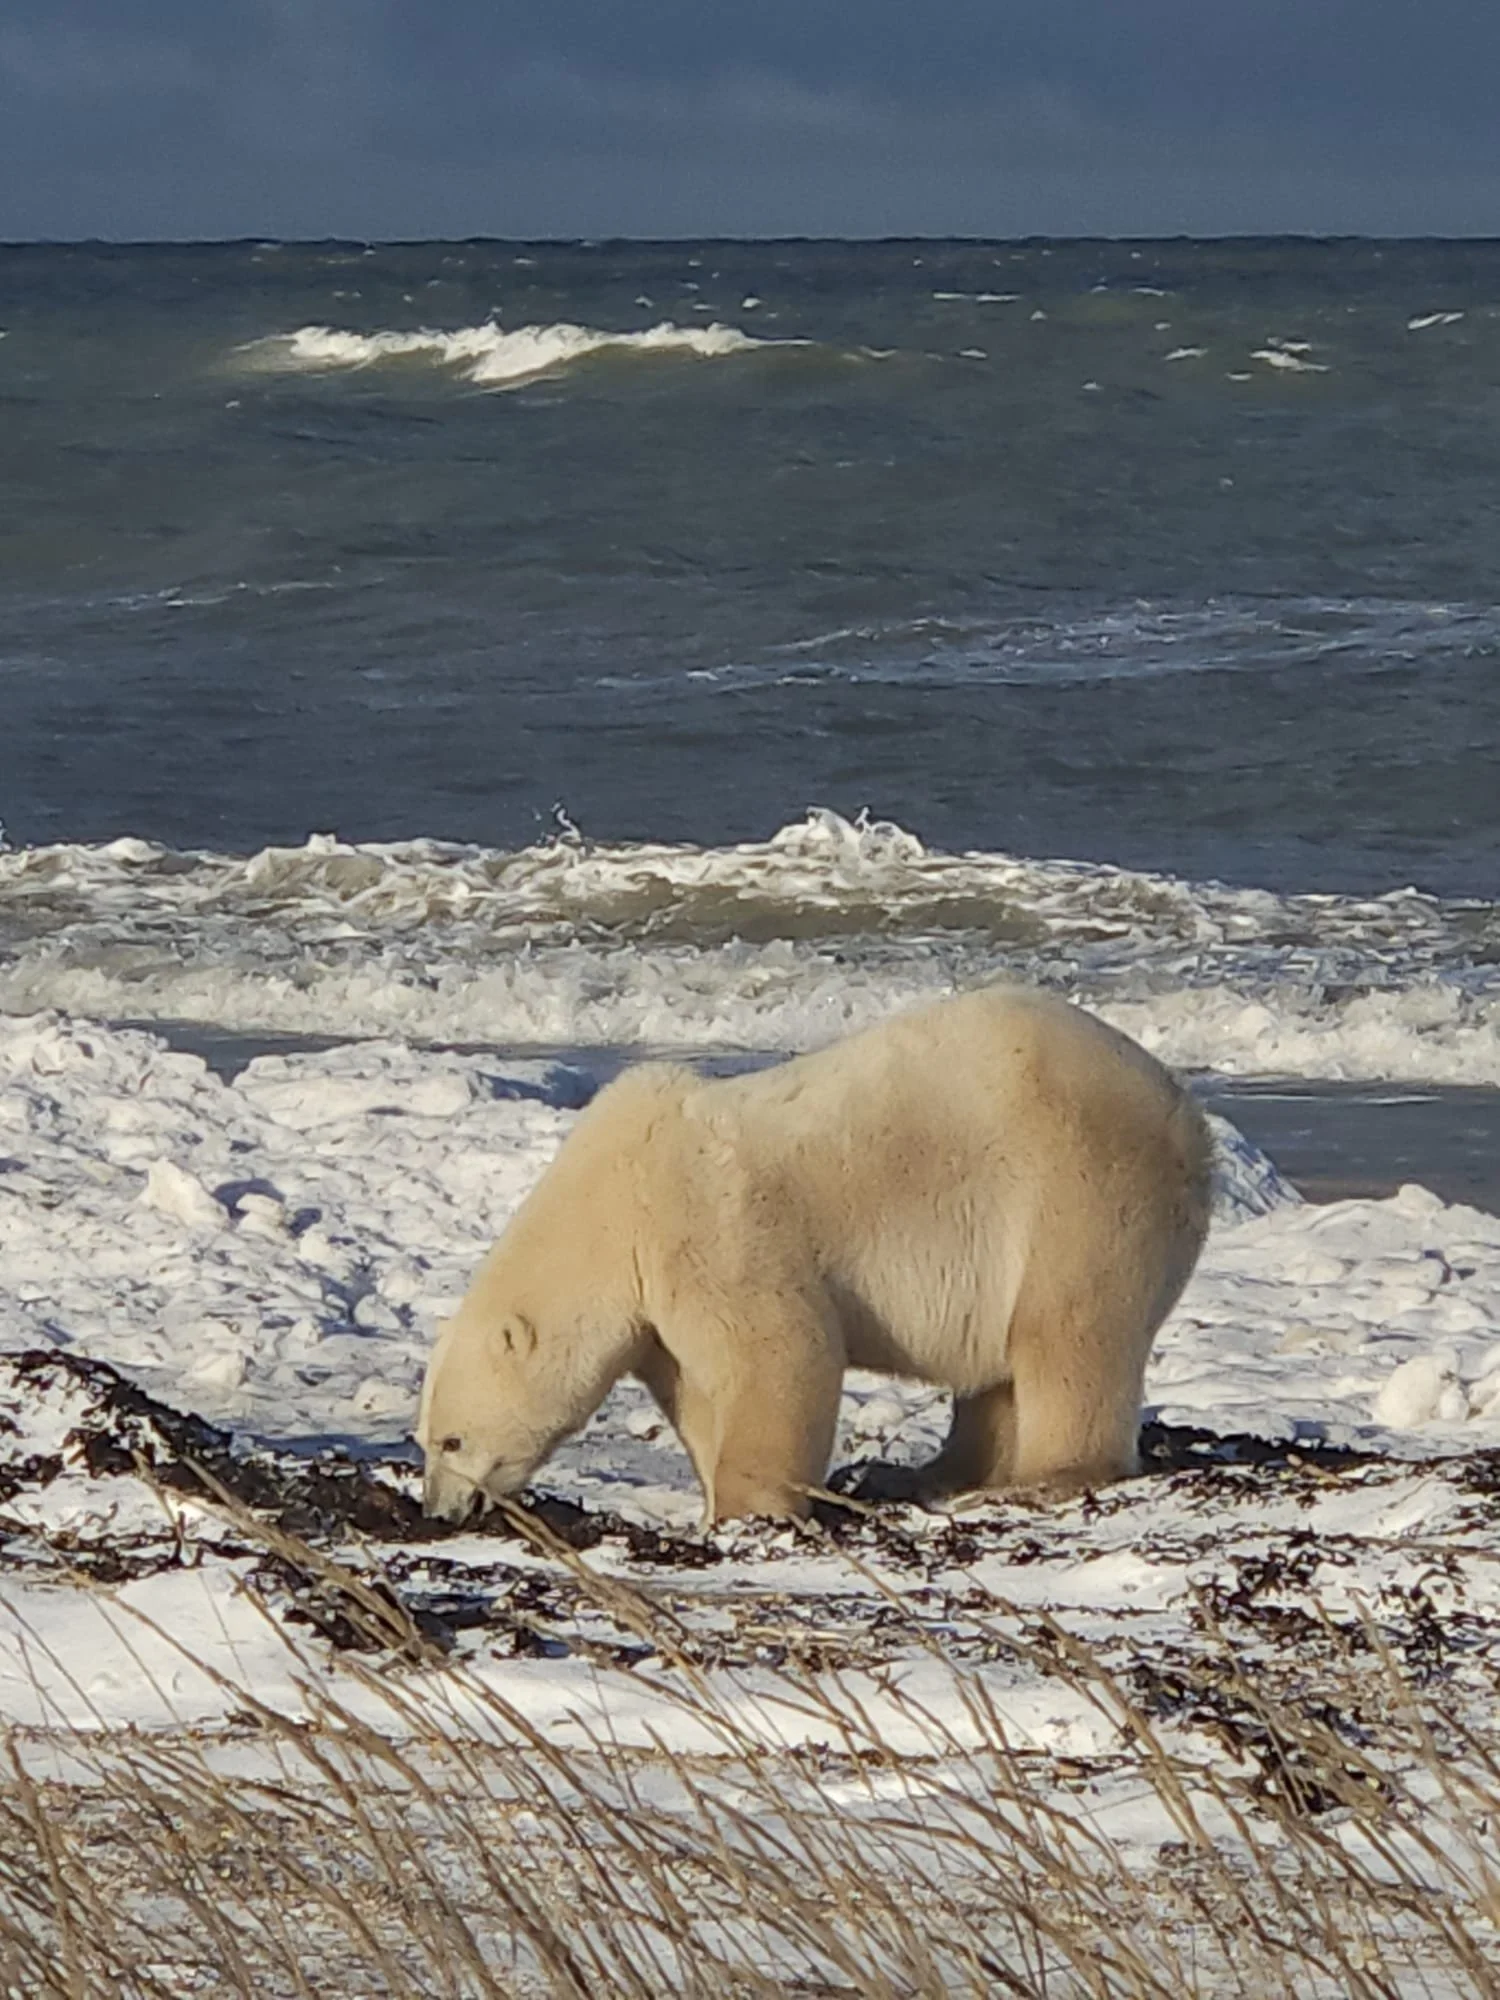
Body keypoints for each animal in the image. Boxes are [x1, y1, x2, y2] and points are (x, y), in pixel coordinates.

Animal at [417, 986, 1213, 1525]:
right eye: (426, 1440)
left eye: (452, 1441)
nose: (437, 1511)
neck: (612, 1202)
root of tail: (1184, 1110)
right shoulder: (657, 1304)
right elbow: (696, 1389)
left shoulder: (712, 1225)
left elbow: (782, 1352)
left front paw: (746, 1507)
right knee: (997, 1370)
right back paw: (927, 1473)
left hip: (1081, 1187)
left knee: (1065, 1332)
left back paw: (1040, 1476)